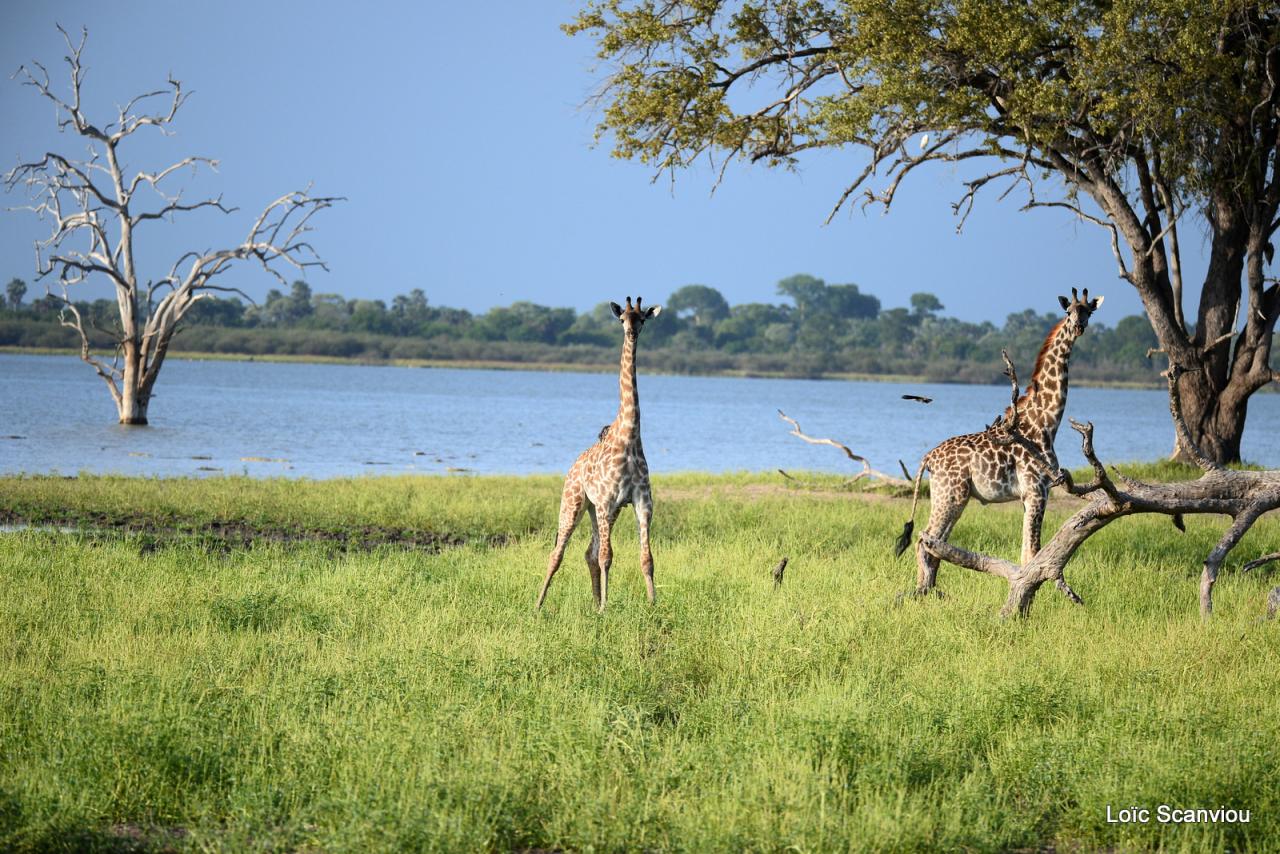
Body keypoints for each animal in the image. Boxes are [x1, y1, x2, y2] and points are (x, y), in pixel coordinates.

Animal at [535, 297, 665, 612]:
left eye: (642, 319)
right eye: (622, 319)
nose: (632, 333)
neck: (630, 436)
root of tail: (574, 465)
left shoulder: (641, 503)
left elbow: (647, 558)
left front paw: (653, 604)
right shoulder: (607, 501)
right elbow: (608, 556)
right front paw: (607, 608)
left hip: (600, 511)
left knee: (589, 551)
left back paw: (594, 603)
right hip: (575, 502)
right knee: (558, 553)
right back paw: (538, 604)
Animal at [901, 290, 1100, 599]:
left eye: (1088, 312)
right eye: (1069, 312)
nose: (1079, 327)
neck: (1045, 423)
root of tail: (928, 457)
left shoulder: (1030, 495)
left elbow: (1028, 553)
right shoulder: (1036, 489)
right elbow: (1033, 553)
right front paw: (1027, 599)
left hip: (950, 496)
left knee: (933, 544)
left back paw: (928, 593)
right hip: (951, 495)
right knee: (926, 540)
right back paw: (923, 593)